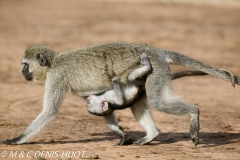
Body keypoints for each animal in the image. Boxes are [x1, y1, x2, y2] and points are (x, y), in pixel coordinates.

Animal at [1, 42, 238, 146]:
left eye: (25, 65)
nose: (22, 72)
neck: (54, 63)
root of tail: (155, 50)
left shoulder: (57, 78)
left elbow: (49, 112)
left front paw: (17, 139)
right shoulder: (92, 95)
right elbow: (103, 108)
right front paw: (122, 134)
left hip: (157, 69)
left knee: (157, 100)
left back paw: (194, 114)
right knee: (139, 103)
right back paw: (152, 135)